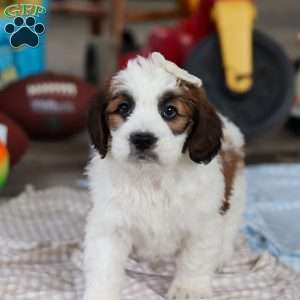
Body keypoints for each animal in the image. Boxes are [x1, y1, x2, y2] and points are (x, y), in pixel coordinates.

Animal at [83, 52, 245, 298]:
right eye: (123, 108)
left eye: (170, 111)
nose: (142, 139)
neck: (152, 178)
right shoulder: (110, 224)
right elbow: (104, 265)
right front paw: (101, 293)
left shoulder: (203, 223)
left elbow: (195, 259)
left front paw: (189, 289)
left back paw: (222, 254)